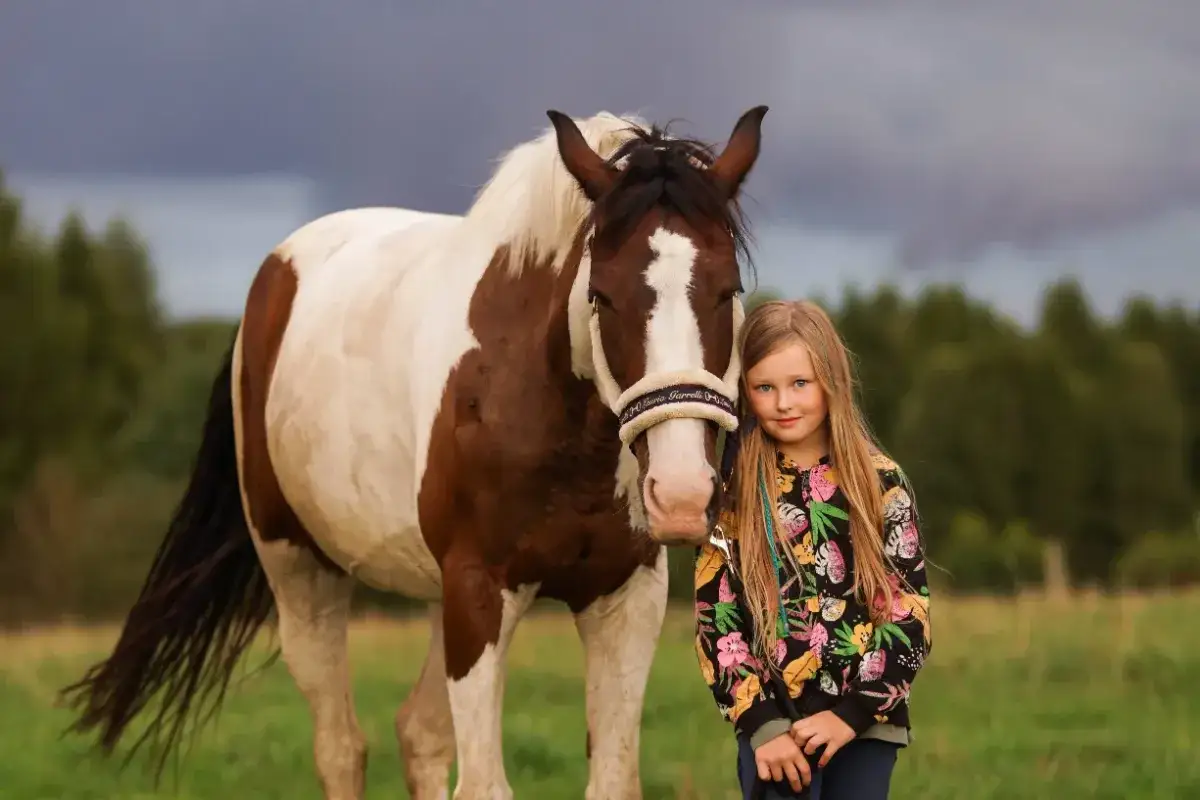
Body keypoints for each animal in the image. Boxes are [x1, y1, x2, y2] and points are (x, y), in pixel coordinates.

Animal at [60, 104, 768, 800]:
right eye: (602, 296)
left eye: (728, 291)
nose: (681, 495)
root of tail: (274, 276)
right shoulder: (479, 595)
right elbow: (483, 786)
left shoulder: (624, 599)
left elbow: (611, 779)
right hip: (302, 575)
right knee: (341, 747)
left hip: (433, 596)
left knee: (418, 735)